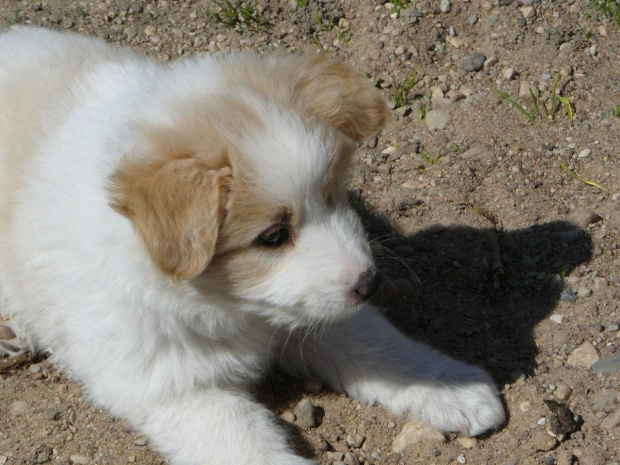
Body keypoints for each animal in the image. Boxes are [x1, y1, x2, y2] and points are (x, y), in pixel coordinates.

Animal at [0, 29, 504, 464]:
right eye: (273, 236)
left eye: (332, 195)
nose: (371, 283)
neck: (230, 308)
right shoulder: (177, 389)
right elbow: (246, 443)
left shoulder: (307, 310)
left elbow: (377, 344)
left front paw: (452, 387)